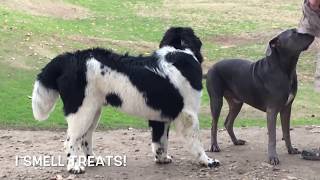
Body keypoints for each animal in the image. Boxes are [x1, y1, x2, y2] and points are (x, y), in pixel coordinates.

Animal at [31, 27, 219, 174]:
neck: (179, 49)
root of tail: (70, 58)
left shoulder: (160, 116)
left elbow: (160, 141)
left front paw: (162, 158)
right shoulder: (188, 114)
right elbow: (196, 141)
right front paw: (207, 161)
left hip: (93, 110)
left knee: (85, 138)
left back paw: (92, 160)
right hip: (81, 111)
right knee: (70, 140)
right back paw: (74, 167)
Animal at [206, 28, 314, 165]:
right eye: (294, 33)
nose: (312, 34)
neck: (284, 69)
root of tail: (211, 67)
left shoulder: (286, 108)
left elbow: (286, 131)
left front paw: (290, 149)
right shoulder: (272, 110)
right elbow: (272, 136)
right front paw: (273, 158)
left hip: (236, 103)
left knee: (228, 123)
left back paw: (236, 141)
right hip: (216, 100)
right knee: (214, 124)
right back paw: (214, 146)